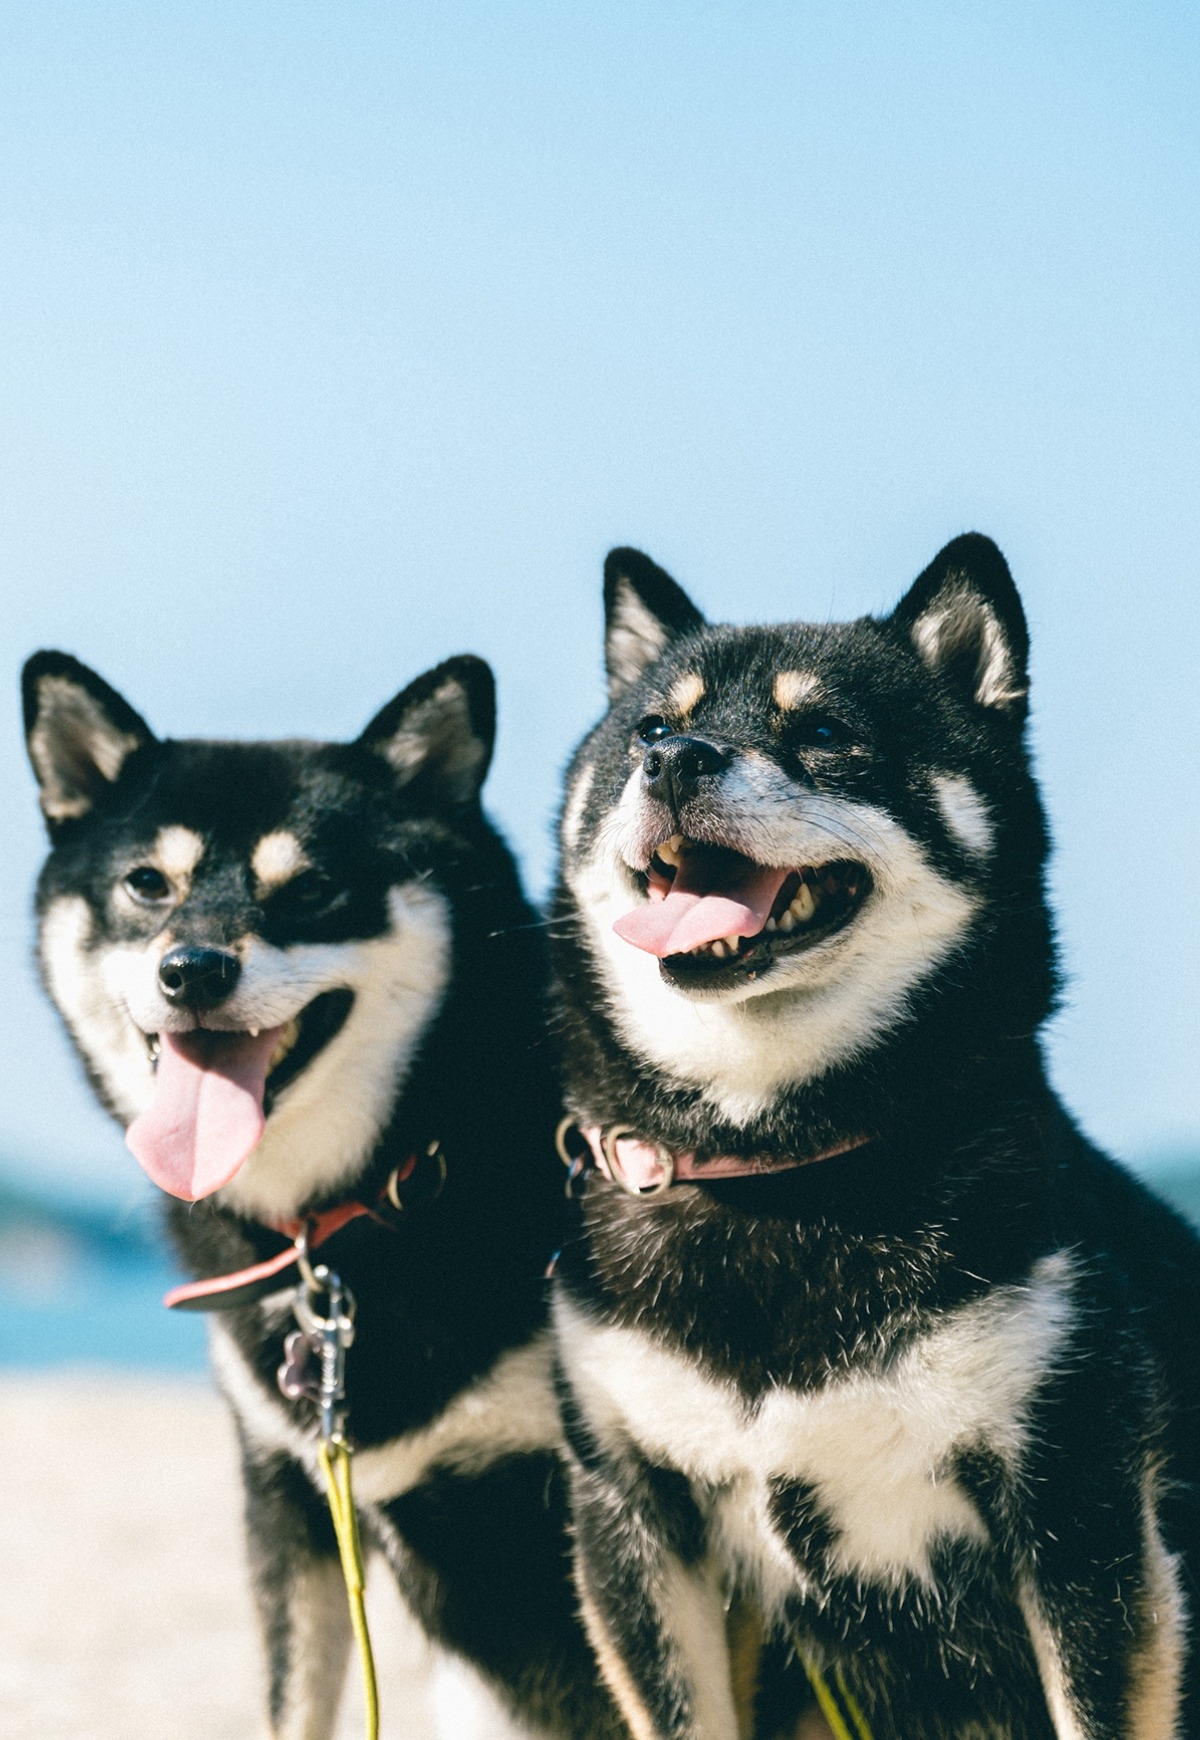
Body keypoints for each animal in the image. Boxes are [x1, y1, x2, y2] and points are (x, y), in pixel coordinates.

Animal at [549, 535, 1196, 1733]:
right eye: (652, 728)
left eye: (823, 733)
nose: (677, 763)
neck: (780, 1171)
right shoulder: (638, 1521)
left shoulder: (1077, 1496)